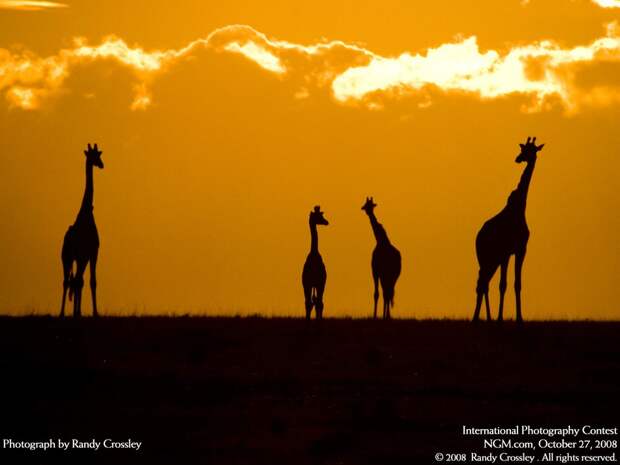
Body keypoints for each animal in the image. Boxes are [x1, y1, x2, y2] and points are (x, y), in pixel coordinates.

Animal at [60, 143, 104, 318]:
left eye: (99, 154)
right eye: (94, 156)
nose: (102, 165)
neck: (86, 213)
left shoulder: (88, 254)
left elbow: (87, 281)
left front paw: (90, 312)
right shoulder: (88, 252)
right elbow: (86, 281)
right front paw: (90, 312)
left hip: (73, 257)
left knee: (73, 280)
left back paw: (69, 313)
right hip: (72, 257)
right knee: (72, 281)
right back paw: (68, 312)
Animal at [472, 136, 544, 320]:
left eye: (530, 150)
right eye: (523, 149)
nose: (518, 158)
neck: (519, 208)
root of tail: (478, 237)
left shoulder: (520, 250)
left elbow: (517, 284)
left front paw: (519, 318)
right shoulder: (507, 253)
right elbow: (503, 284)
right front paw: (500, 319)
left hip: (492, 259)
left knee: (483, 282)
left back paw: (484, 318)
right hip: (487, 257)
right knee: (483, 283)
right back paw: (480, 318)